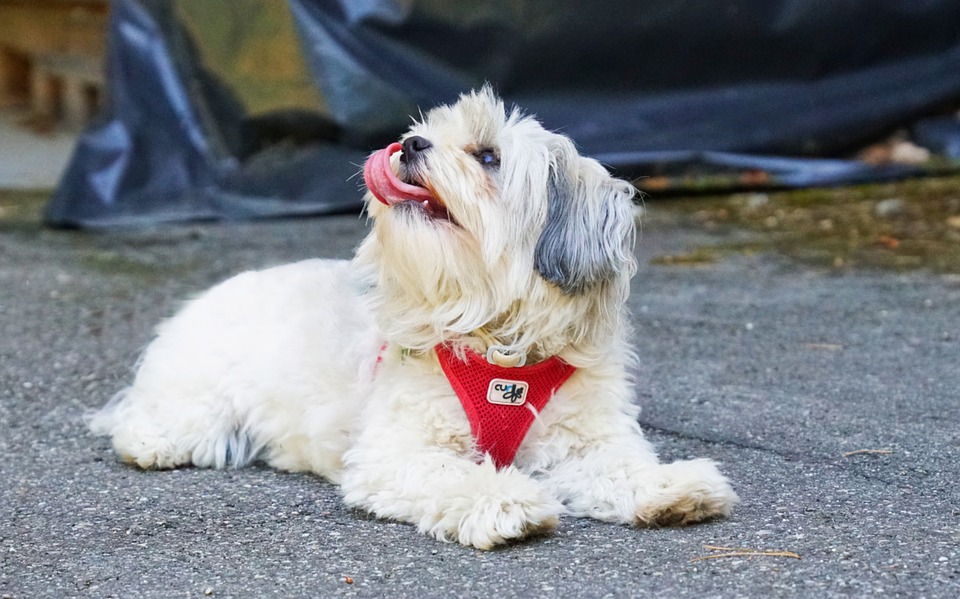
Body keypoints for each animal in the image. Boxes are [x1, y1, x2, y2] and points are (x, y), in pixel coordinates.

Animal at [88, 86, 736, 552]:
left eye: (488, 156)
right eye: (426, 133)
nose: (412, 144)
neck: (498, 342)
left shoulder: (586, 441)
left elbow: (620, 468)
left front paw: (670, 488)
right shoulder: (398, 453)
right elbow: (457, 475)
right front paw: (505, 502)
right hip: (197, 405)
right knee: (152, 424)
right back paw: (150, 443)